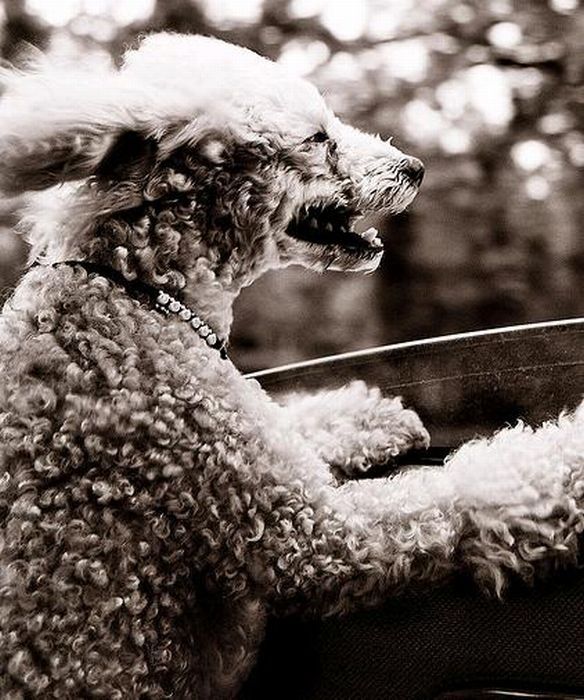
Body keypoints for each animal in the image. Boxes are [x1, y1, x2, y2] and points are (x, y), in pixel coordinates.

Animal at [1, 32, 584, 700]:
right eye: (317, 138)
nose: (416, 167)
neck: (137, 291)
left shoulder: (255, 438)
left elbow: (298, 425)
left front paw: (370, 417)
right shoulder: (303, 530)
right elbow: (464, 492)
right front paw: (570, 455)